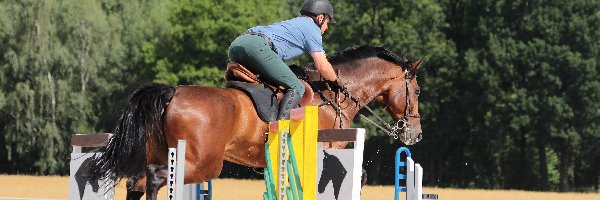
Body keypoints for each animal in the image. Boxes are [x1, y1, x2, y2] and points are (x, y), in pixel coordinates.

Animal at [89, 44, 424, 199]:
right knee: (156, 178)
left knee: (136, 180)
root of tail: (172, 92)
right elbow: (359, 177)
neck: (333, 97)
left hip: (164, 152)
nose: (415, 134)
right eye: (418, 91)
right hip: (203, 163)